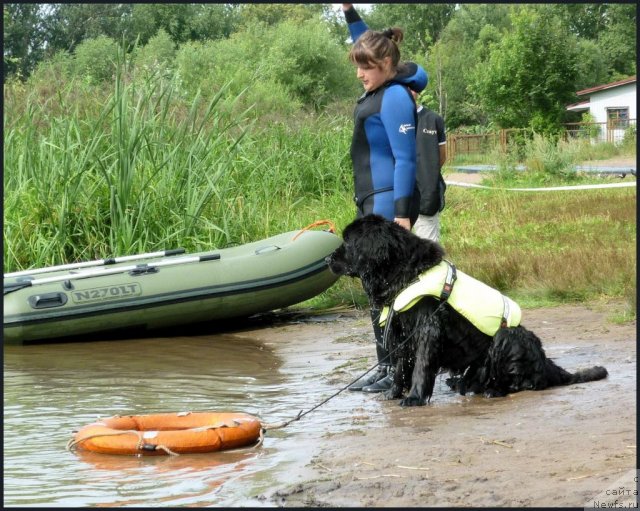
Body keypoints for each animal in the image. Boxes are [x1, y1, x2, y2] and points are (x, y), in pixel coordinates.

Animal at [328, 216, 608, 408]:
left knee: (529, 382)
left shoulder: (428, 328)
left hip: (509, 337)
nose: (328, 259)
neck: (406, 274)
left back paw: (494, 390)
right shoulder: (402, 330)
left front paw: (415, 397)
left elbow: (420, 366)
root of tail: (546, 363)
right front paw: (393, 392)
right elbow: (400, 367)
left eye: (347, 243)